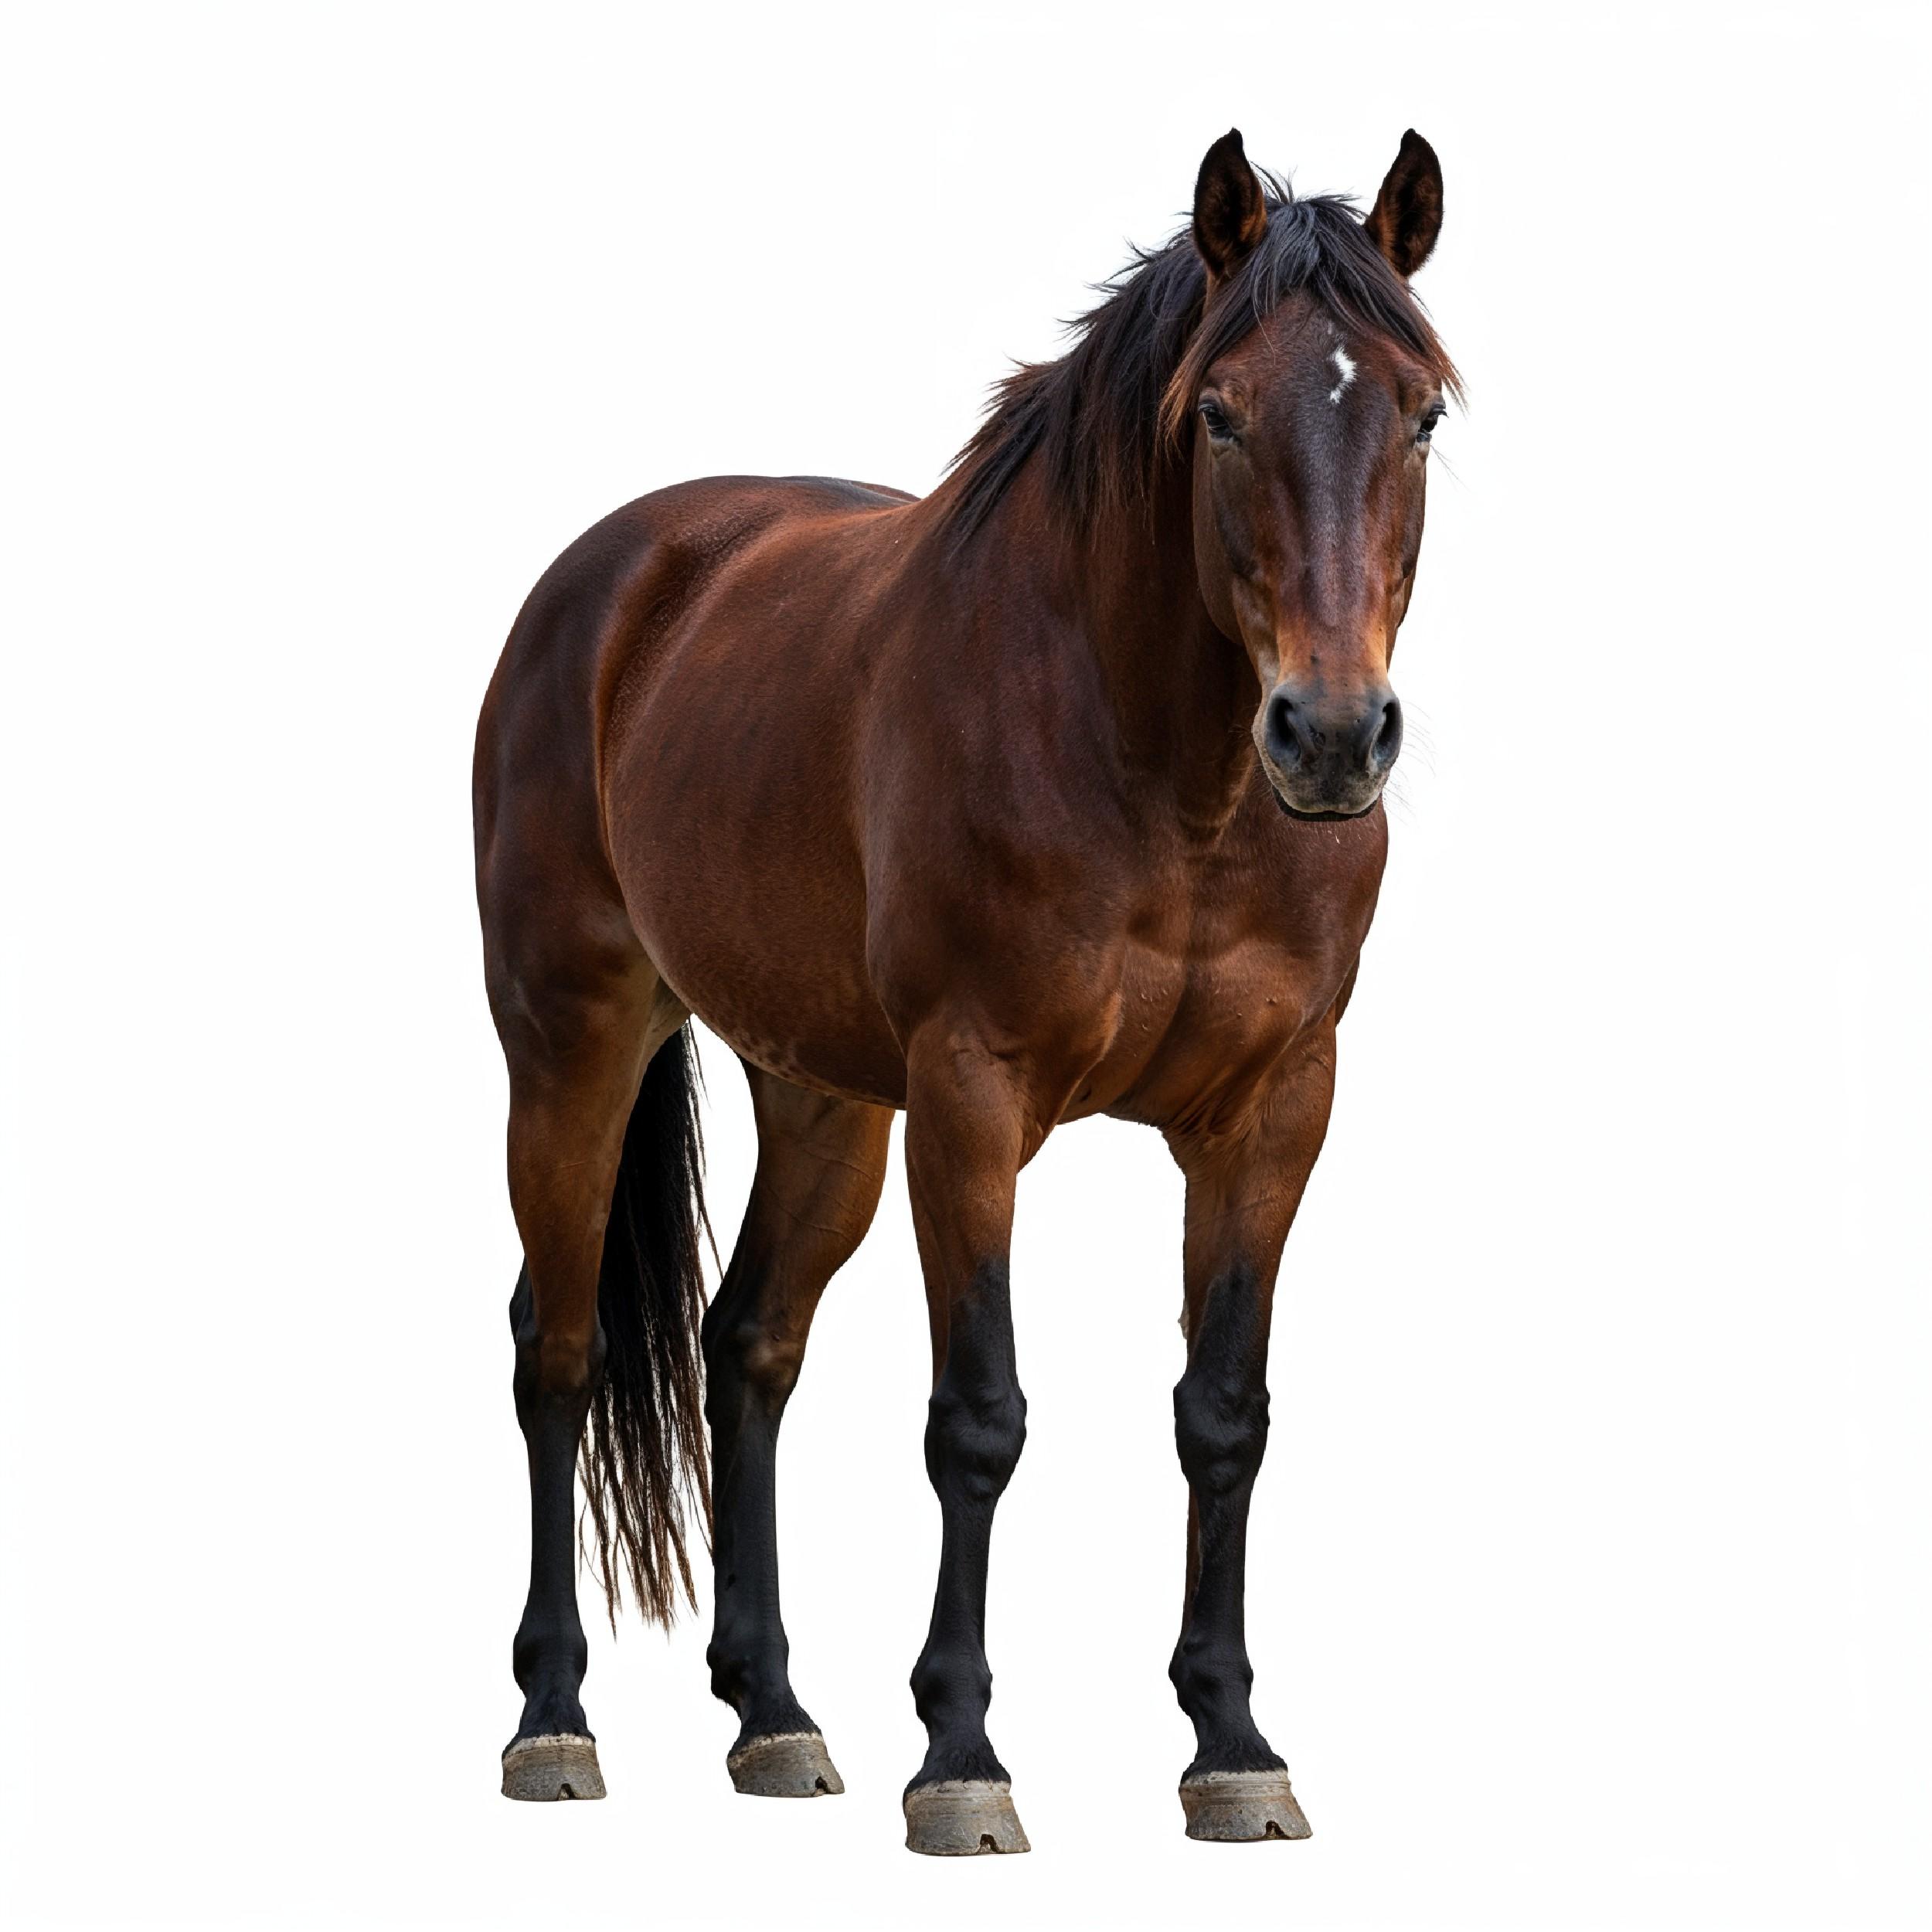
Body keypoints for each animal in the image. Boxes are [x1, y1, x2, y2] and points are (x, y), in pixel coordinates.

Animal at [473, 125, 1459, 1853]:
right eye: (1217, 413)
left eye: (1419, 414)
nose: (1331, 737)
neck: (1158, 770)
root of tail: (612, 576)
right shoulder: (973, 1097)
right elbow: (977, 1419)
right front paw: (961, 1757)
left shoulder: (1273, 1111)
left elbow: (1225, 1411)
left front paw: (1231, 1744)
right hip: (572, 1044)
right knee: (561, 1348)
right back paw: (552, 1720)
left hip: (819, 1099)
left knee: (749, 1345)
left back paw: (776, 1716)